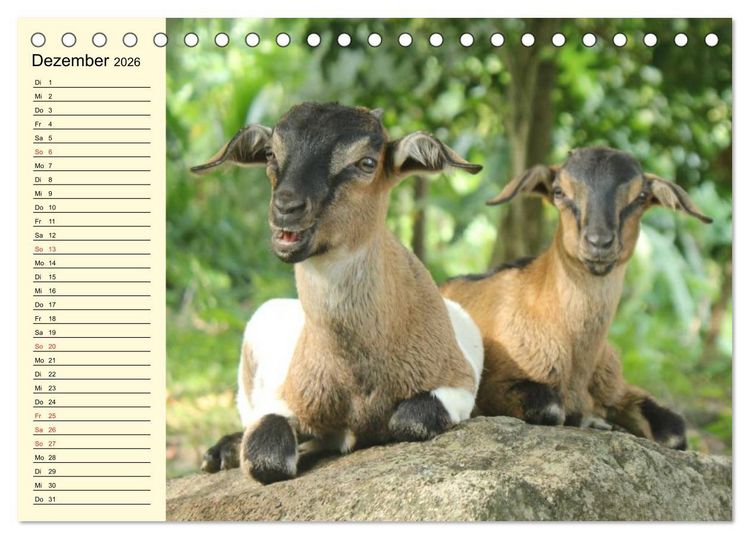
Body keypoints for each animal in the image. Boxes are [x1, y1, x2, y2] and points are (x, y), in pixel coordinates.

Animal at [191, 102, 484, 483]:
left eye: (367, 162)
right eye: (271, 153)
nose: (286, 207)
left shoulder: (457, 383)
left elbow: (410, 421)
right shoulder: (287, 398)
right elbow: (265, 456)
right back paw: (219, 453)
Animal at [441, 147, 711, 450]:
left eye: (641, 196)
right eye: (559, 191)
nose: (599, 242)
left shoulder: (616, 387)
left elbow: (675, 429)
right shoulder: (496, 384)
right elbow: (550, 408)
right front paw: (594, 421)